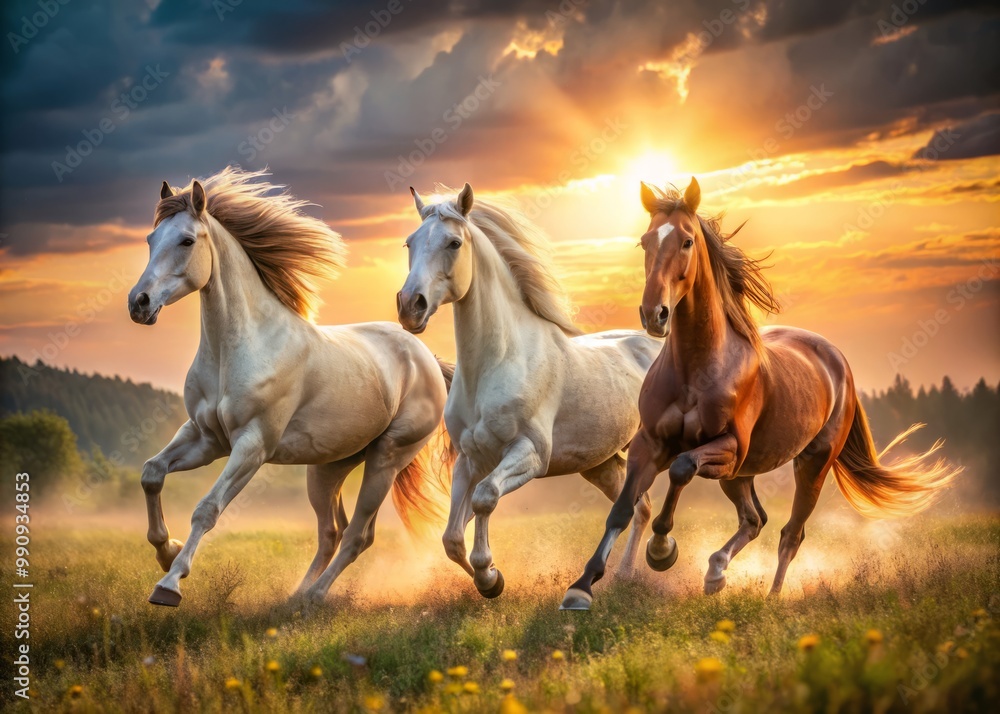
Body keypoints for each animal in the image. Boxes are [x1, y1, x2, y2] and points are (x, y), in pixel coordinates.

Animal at [127, 167, 453, 607]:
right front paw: (166, 550)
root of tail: (427, 360)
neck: (242, 349)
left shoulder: (252, 446)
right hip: (328, 468)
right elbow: (152, 473)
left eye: (186, 241)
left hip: (387, 459)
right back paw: (296, 597)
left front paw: (169, 584)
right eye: (150, 239)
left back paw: (315, 597)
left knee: (358, 535)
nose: (139, 303)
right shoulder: (205, 438)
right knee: (332, 531)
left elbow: (207, 509)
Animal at [396, 183, 661, 598]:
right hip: (601, 464)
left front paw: (489, 575)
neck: (499, 362)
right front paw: (490, 581)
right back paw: (622, 576)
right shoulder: (469, 459)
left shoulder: (530, 455)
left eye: (454, 242)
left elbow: (485, 498)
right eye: (410, 242)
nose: (410, 306)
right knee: (639, 507)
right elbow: (452, 536)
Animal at [561, 177, 960, 610]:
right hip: (742, 473)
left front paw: (662, 550)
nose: (655, 314)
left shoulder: (729, 447)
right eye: (645, 241)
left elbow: (682, 468)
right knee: (754, 520)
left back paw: (771, 595)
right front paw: (581, 587)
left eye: (686, 241)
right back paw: (716, 572)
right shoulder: (649, 444)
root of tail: (836, 361)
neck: (697, 368)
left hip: (810, 463)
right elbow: (622, 509)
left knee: (790, 533)